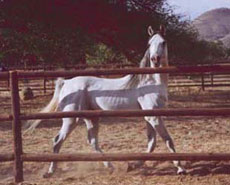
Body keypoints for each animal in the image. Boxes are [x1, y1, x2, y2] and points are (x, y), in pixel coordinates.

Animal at [27, 25, 185, 177]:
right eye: (149, 43)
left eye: (163, 42)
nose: (155, 59)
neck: (151, 82)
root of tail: (67, 83)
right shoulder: (154, 117)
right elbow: (168, 140)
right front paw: (180, 168)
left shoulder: (150, 117)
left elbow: (151, 144)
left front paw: (132, 165)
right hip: (71, 119)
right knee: (57, 141)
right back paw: (50, 172)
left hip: (91, 118)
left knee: (92, 142)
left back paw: (110, 166)